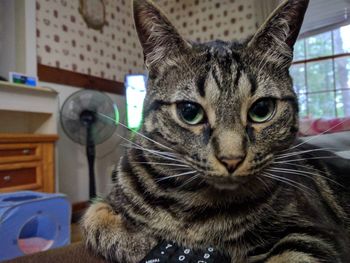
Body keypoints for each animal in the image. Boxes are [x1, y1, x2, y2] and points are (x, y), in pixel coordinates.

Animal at [81, 0, 350, 262]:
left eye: (262, 109)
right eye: (189, 112)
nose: (231, 159)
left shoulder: (313, 235)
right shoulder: (107, 199)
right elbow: (94, 216)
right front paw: (140, 241)